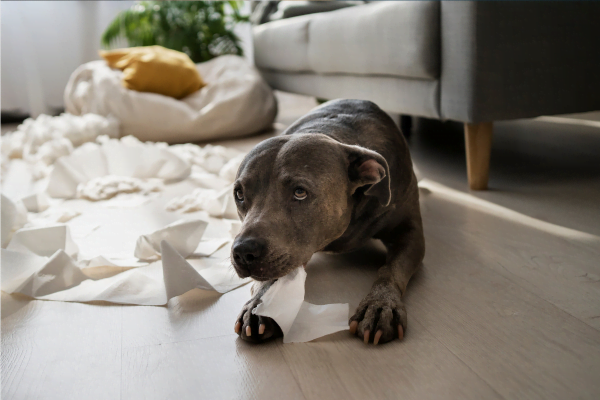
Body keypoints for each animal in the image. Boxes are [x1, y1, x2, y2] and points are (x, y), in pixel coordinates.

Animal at [229, 99, 422, 344]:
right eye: (239, 194)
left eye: (300, 192)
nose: (244, 252)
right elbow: (271, 278)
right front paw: (259, 305)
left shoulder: (410, 233)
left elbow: (391, 269)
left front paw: (380, 305)